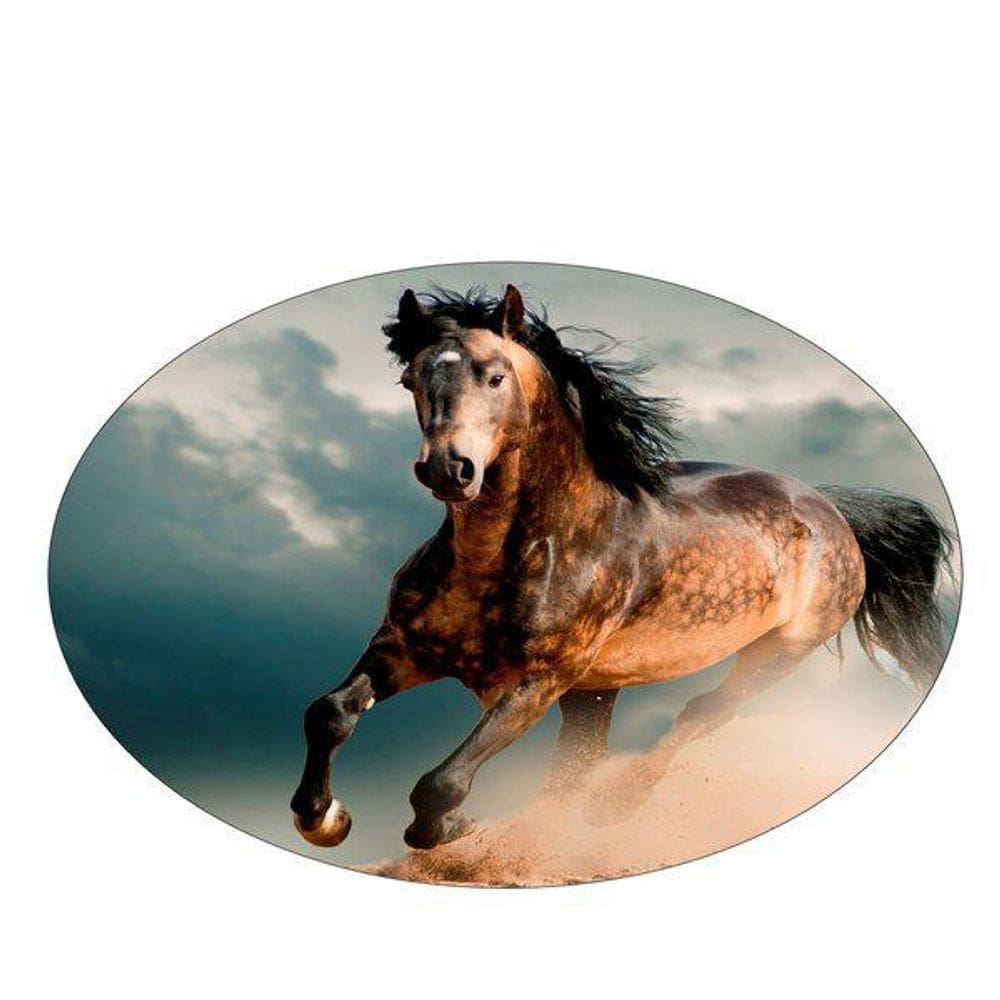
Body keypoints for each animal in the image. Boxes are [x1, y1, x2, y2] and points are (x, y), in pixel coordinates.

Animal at [290, 284, 953, 850]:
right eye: (410, 378)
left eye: (495, 376)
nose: (447, 469)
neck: (501, 559)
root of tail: (831, 508)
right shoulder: (404, 648)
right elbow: (329, 712)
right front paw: (323, 818)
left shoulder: (538, 682)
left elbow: (441, 783)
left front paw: (449, 828)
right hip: (596, 693)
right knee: (576, 766)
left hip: (780, 651)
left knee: (700, 714)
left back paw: (614, 807)